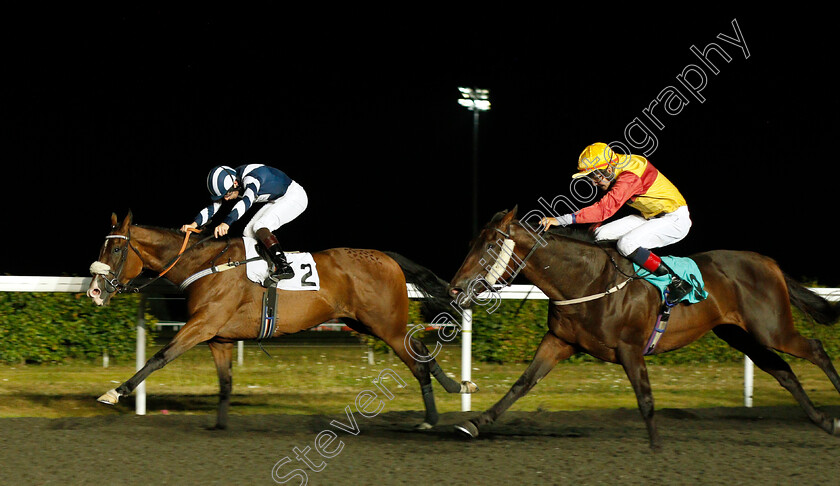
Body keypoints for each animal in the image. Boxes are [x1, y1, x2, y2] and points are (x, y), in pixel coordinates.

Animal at [89, 213, 480, 430]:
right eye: (102, 248)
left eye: (117, 250)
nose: (94, 290)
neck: (206, 264)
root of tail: (386, 257)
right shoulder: (219, 337)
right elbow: (225, 383)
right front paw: (219, 425)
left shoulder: (203, 325)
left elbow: (159, 357)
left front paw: (115, 392)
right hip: (369, 324)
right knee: (421, 350)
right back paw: (457, 386)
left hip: (387, 326)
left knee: (417, 363)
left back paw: (430, 418)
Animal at [450, 207, 840, 450]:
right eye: (470, 243)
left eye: (489, 245)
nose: (455, 288)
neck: (587, 280)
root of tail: (768, 261)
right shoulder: (559, 341)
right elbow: (522, 384)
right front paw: (474, 423)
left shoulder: (630, 348)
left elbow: (646, 398)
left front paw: (655, 447)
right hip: (741, 335)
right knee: (784, 371)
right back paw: (824, 421)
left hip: (772, 329)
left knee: (816, 349)